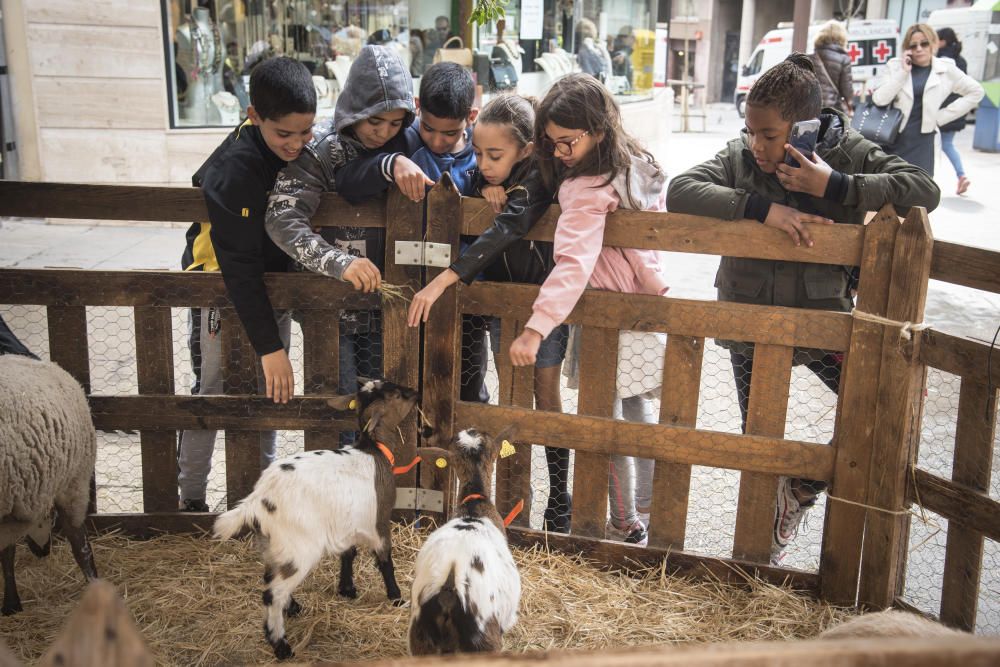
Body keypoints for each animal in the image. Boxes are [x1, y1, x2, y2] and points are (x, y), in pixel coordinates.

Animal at [213, 378, 424, 660]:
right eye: (396, 395)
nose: (416, 393)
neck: (374, 452)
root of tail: (258, 500)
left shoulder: (347, 522)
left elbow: (348, 553)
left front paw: (347, 589)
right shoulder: (379, 522)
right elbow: (384, 560)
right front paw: (396, 597)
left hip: (272, 545)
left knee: (270, 576)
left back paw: (292, 608)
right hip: (299, 549)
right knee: (272, 593)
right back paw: (280, 645)